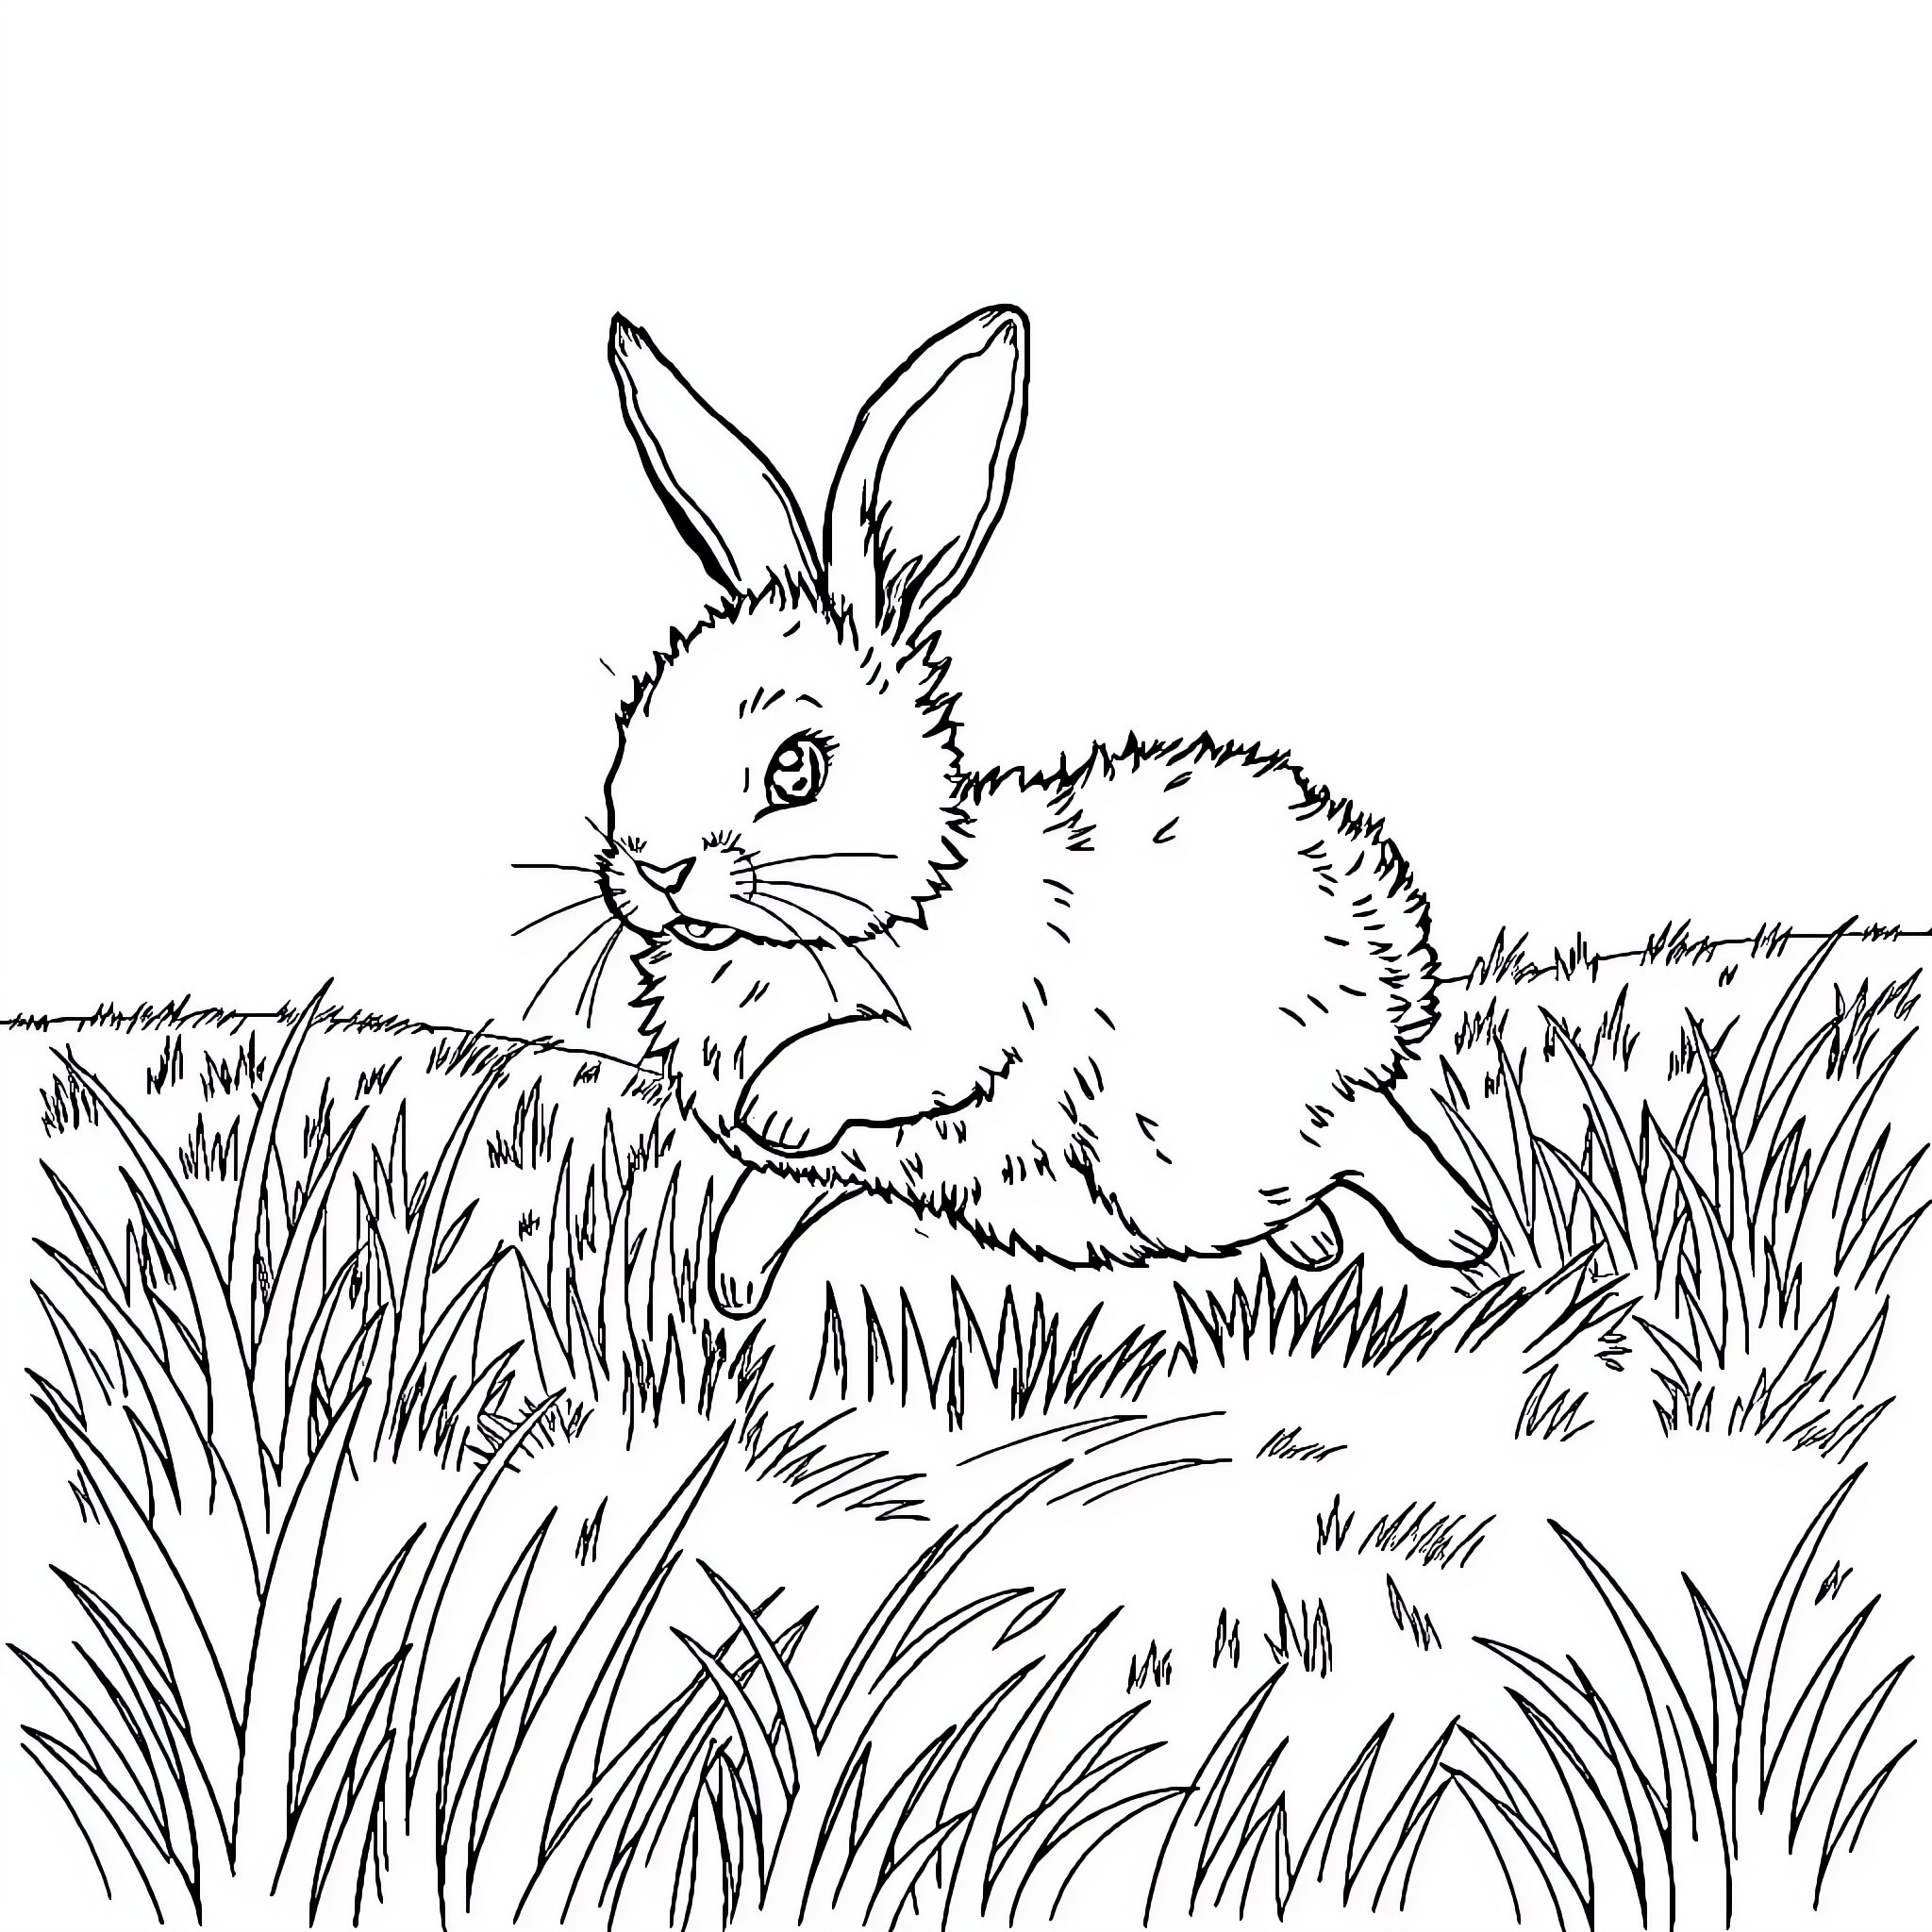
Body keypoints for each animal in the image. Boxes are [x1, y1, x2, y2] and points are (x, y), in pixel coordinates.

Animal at [595, 303, 1496, 1315]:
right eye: (630, 730)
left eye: (796, 768)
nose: (655, 870)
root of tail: (1374, 938)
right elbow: (763, 1197)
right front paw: (731, 1287)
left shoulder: (967, 1019)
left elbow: (880, 1057)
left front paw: (779, 1106)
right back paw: (1327, 1242)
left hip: (1181, 1160)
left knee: (1364, 1134)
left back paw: (1466, 1235)